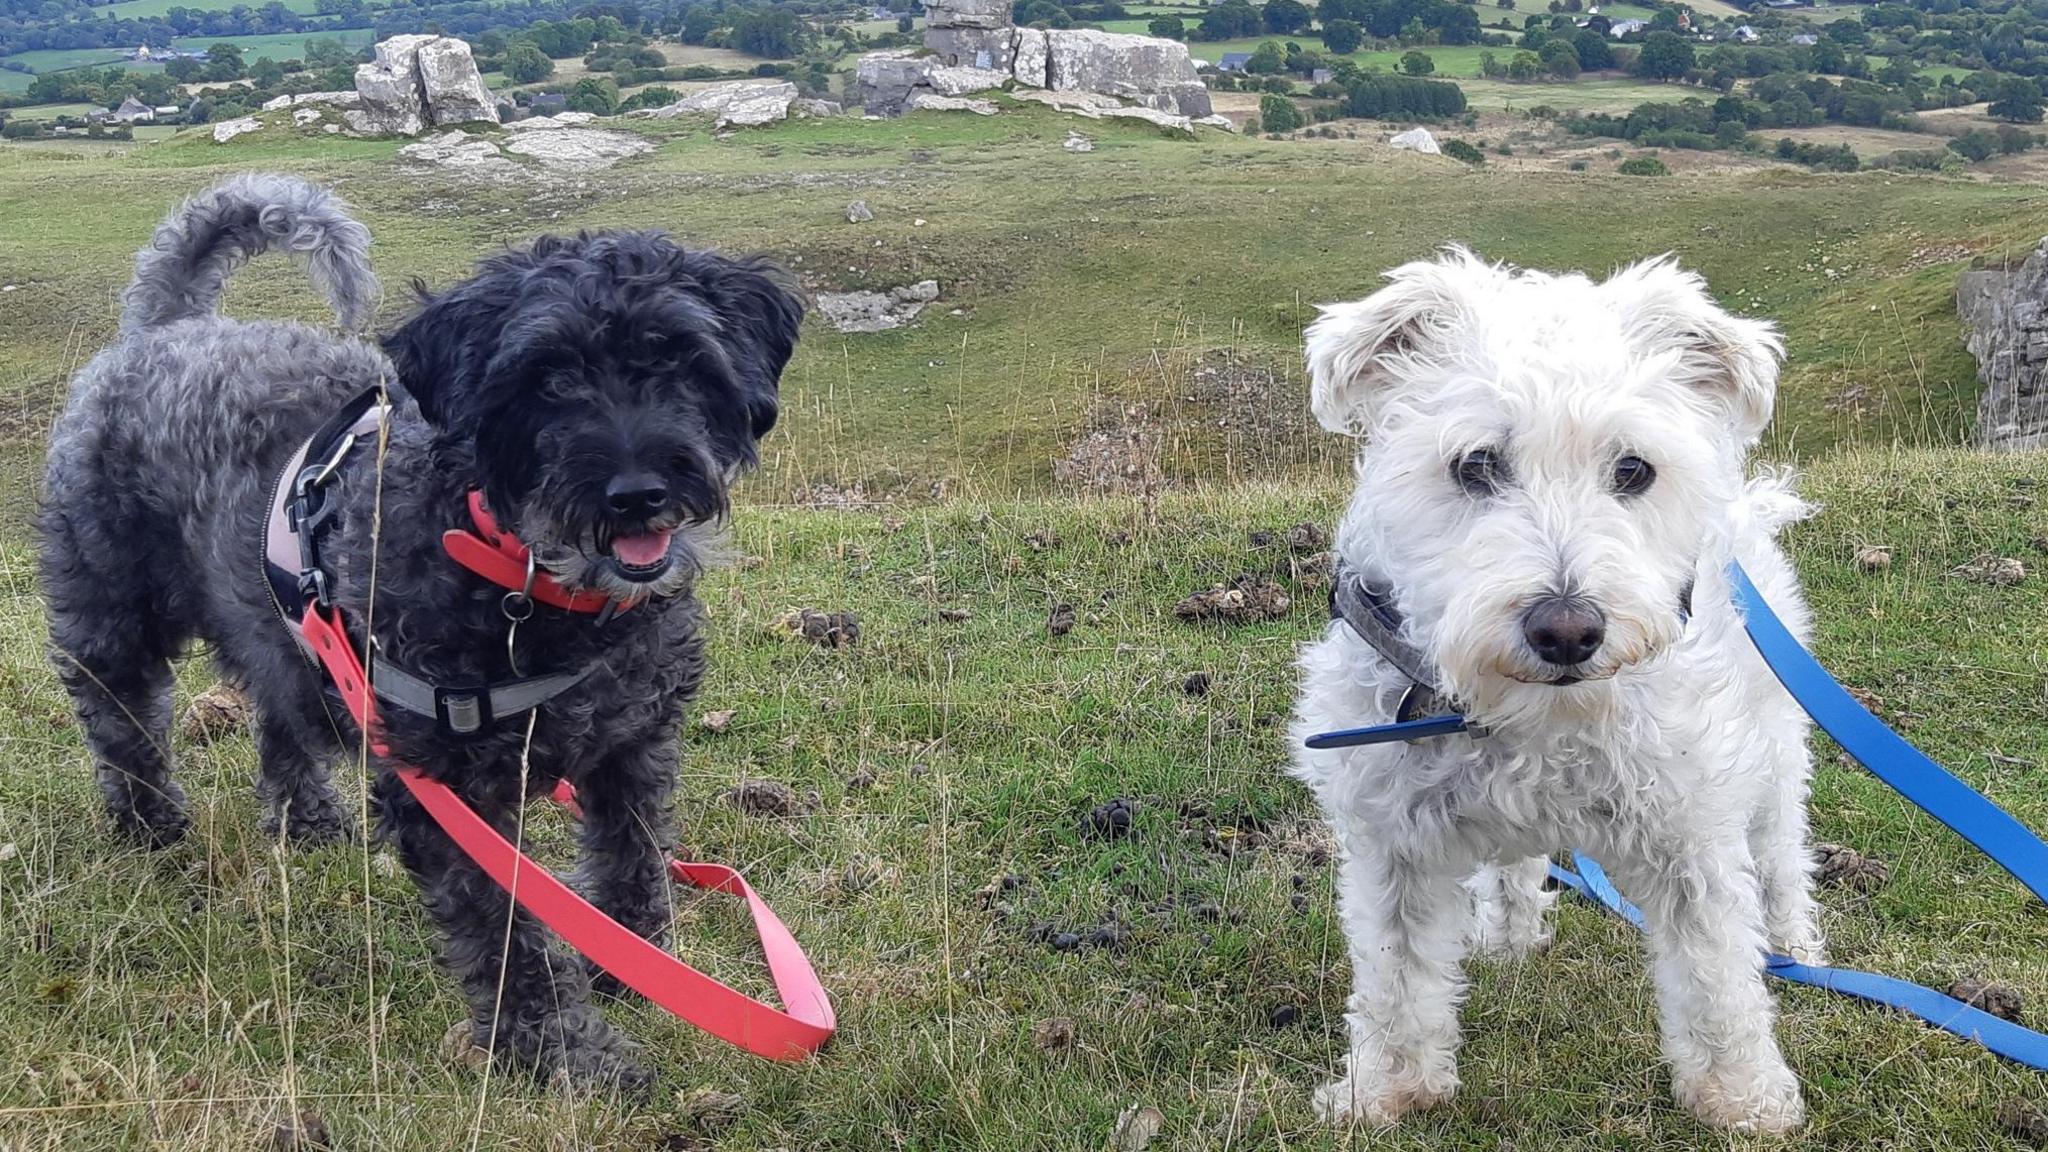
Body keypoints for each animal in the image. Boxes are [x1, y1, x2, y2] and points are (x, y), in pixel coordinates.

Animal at [41, 172, 798, 1082]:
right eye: (546, 378)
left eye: (682, 359)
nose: (636, 492)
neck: (516, 579)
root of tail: (166, 328)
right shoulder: (449, 796)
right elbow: (507, 940)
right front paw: (563, 1056)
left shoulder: (634, 745)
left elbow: (633, 861)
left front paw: (632, 965)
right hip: (111, 619)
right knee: (123, 723)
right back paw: (151, 829)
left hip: (282, 633)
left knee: (277, 711)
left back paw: (307, 822)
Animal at [1286, 243, 1835, 1131]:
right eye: (1476, 465)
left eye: (1634, 469)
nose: (1568, 630)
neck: (1532, 719)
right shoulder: (1393, 845)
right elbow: (1396, 982)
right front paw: (1386, 1090)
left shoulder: (1692, 836)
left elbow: (1717, 978)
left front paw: (1743, 1098)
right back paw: (1508, 932)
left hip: (1777, 752)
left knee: (1783, 855)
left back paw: (1795, 943)